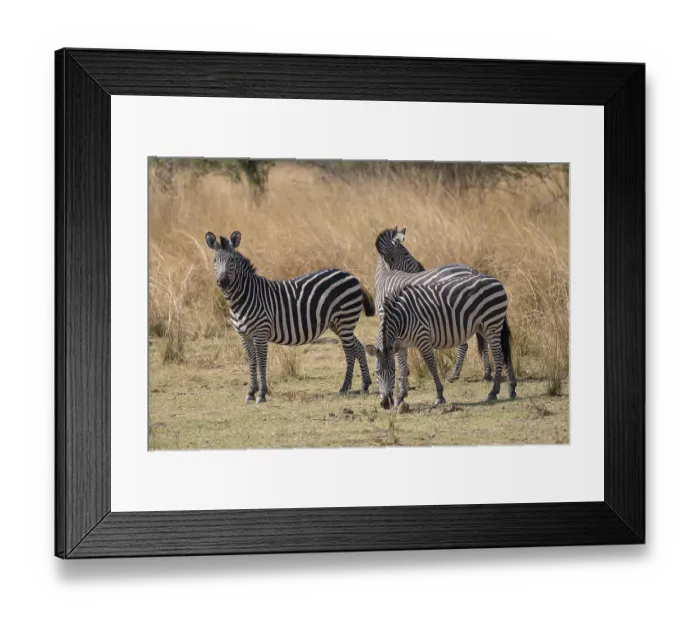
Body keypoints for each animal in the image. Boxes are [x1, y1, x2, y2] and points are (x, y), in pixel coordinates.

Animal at [205, 230, 375, 403]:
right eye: (214, 260)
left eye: (232, 260)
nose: (223, 282)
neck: (243, 298)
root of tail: (351, 276)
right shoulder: (244, 335)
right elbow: (252, 362)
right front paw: (251, 392)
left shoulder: (260, 333)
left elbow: (261, 362)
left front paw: (261, 394)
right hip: (338, 324)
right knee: (359, 347)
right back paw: (365, 385)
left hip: (345, 320)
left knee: (350, 352)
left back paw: (344, 387)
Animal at [365, 275, 517, 410]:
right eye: (377, 372)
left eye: (392, 372)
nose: (385, 403)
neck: (401, 319)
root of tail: (496, 280)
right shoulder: (401, 345)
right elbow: (403, 368)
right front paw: (400, 397)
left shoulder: (422, 338)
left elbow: (431, 366)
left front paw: (439, 395)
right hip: (485, 327)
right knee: (505, 354)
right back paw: (512, 389)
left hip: (492, 324)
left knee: (499, 356)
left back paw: (494, 392)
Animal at [374, 225, 493, 385]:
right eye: (405, 252)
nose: (421, 268)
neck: (385, 277)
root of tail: (472, 270)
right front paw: (404, 373)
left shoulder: (388, 319)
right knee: (483, 340)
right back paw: (487, 373)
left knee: (464, 345)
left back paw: (454, 375)